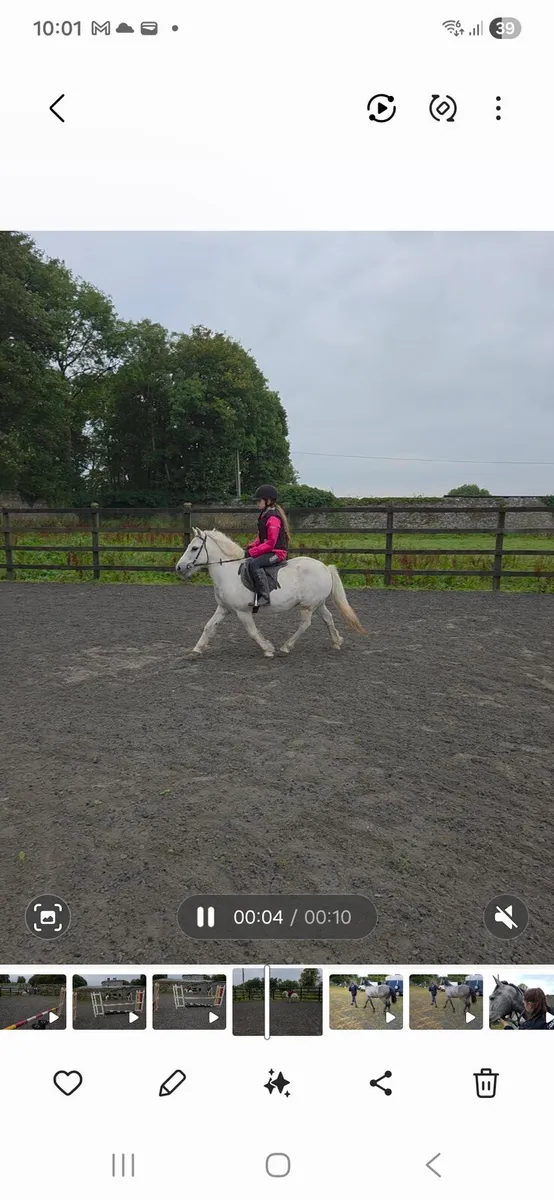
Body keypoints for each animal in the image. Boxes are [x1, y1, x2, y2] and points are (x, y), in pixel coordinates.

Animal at [175, 528, 366, 658]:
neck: (228, 573)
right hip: (317, 604)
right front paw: (196, 649)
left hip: (307, 606)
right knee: (328, 618)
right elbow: (209, 627)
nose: (179, 568)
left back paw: (285, 647)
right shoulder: (223, 609)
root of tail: (325, 568)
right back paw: (336, 641)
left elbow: (252, 632)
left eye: (194, 548)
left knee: (305, 624)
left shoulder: (242, 612)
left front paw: (268, 649)